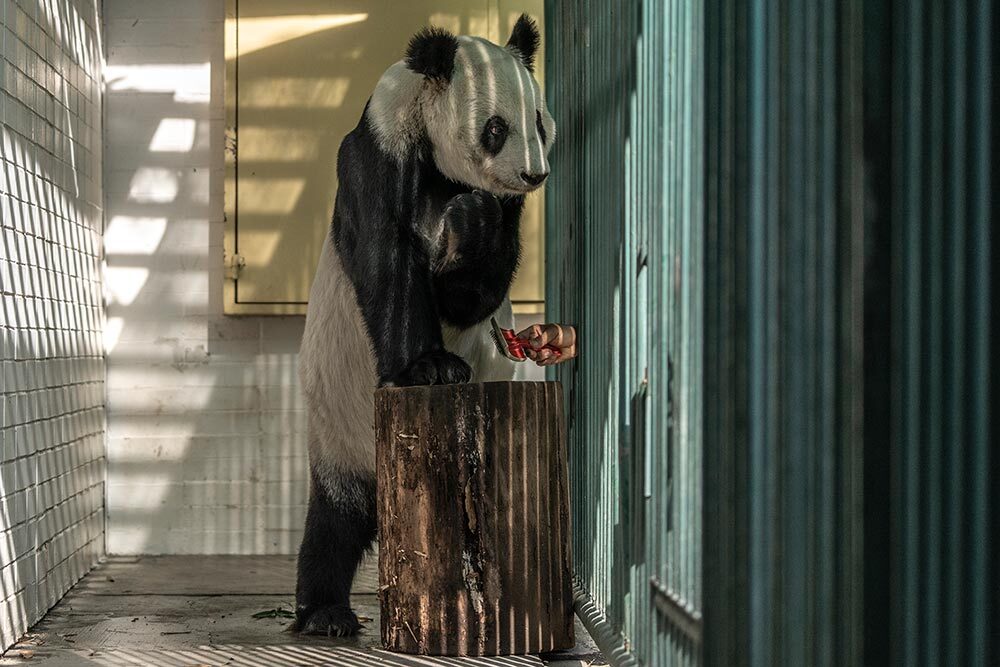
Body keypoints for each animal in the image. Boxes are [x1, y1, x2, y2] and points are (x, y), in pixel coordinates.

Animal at [292, 15, 556, 636]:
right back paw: (324, 613)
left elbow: (475, 291)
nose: (533, 175)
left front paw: (472, 219)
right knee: (335, 519)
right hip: (338, 425)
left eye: (539, 121)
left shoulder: (506, 217)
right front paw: (432, 368)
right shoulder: (379, 153)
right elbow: (388, 261)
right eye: (496, 128)